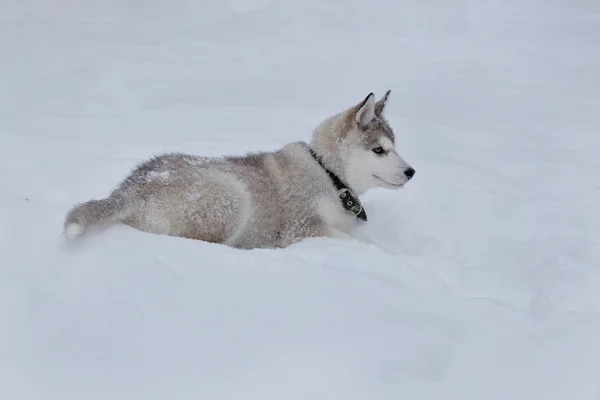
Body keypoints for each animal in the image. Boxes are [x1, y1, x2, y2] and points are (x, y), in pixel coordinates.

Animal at [63, 92, 414, 248]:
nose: (412, 172)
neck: (327, 172)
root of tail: (131, 187)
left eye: (395, 145)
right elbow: (364, 245)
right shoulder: (302, 228)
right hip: (231, 199)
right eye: (379, 150)